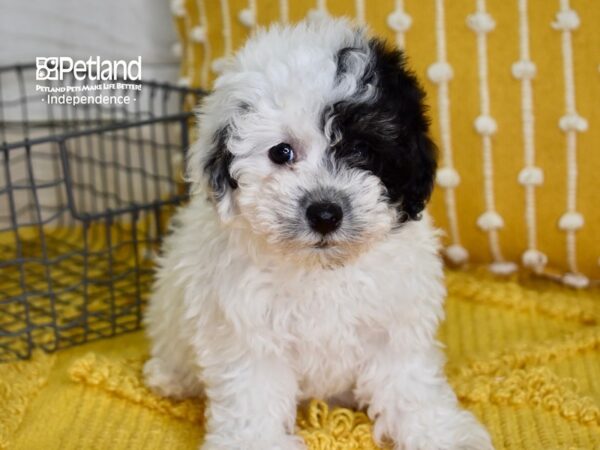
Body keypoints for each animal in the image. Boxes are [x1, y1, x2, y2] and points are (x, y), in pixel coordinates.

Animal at [144, 17, 492, 450]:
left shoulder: (394, 323)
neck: (320, 268)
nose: (325, 213)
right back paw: (170, 377)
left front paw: (438, 432)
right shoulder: (248, 332)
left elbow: (410, 383)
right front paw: (257, 441)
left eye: (361, 149)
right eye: (281, 152)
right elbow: (253, 392)